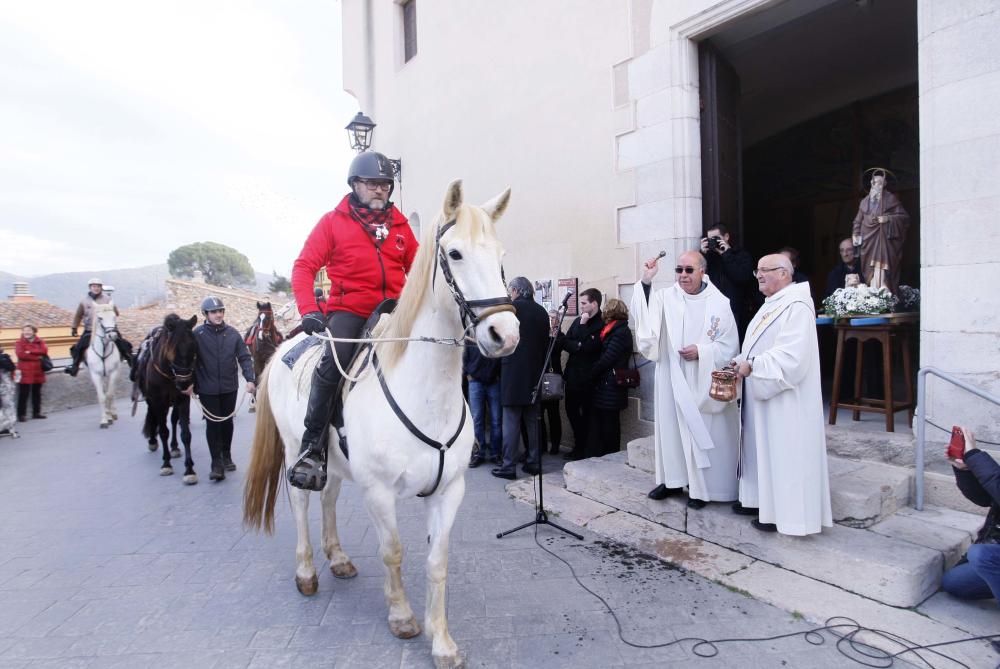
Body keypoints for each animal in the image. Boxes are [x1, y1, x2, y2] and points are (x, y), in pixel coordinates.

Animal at [141, 312, 199, 480]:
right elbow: (163, 432)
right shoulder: (158, 401)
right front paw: (166, 464)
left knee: (173, 421)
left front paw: (189, 470)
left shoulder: (183, 400)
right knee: (153, 416)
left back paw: (174, 447)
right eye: (172, 349)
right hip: (152, 401)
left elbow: (185, 434)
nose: (184, 383)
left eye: (194, 347)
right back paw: (153, 441)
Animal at [245, 180, 520, 664]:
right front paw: (403, 618)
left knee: (328, 498)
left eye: (500, 254)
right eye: (455, 254)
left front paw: (442, 641)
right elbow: (393, 552)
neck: (425, 390)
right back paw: (307, 571)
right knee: (300, 505)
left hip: (333, 463)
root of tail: (283, 349)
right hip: (296, 450)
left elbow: (437, 562)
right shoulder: (378, 492)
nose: (504, 335)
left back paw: (337, 558)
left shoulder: (449, 491)